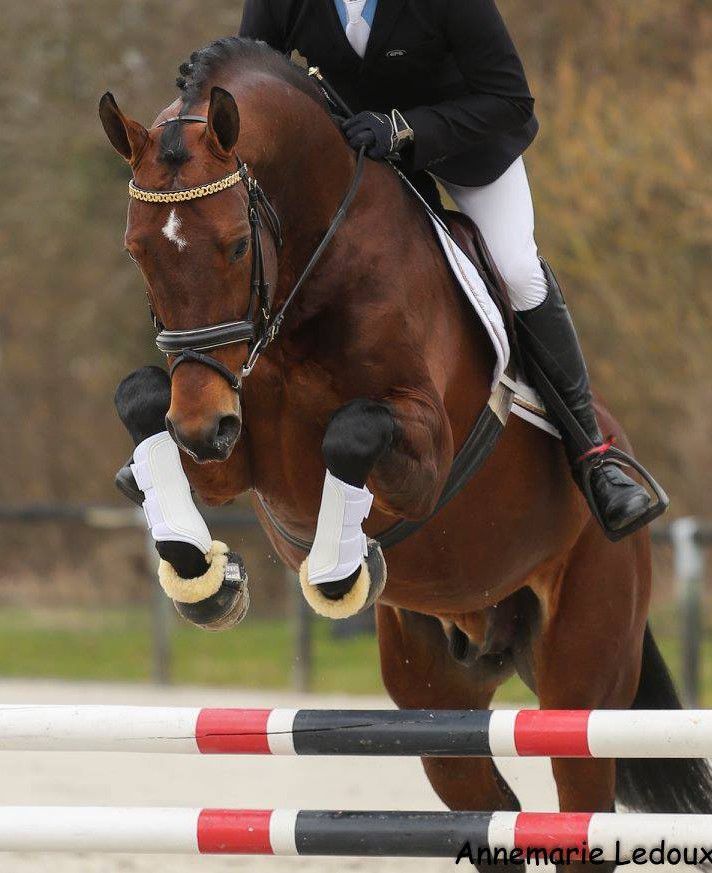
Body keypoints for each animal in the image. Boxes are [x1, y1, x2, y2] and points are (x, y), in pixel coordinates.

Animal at [100, 36, 711, 869]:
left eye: (234, 244)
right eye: (137, 251)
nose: (202, 425)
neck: (305, 274)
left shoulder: (421, 455)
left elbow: (351, 433)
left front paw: (339, 569)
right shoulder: (233, 443)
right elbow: (141, 401)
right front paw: (203, 576)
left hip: (583, 674)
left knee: (580, 807)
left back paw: (611, 484)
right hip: (435, 696)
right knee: (491, 811)